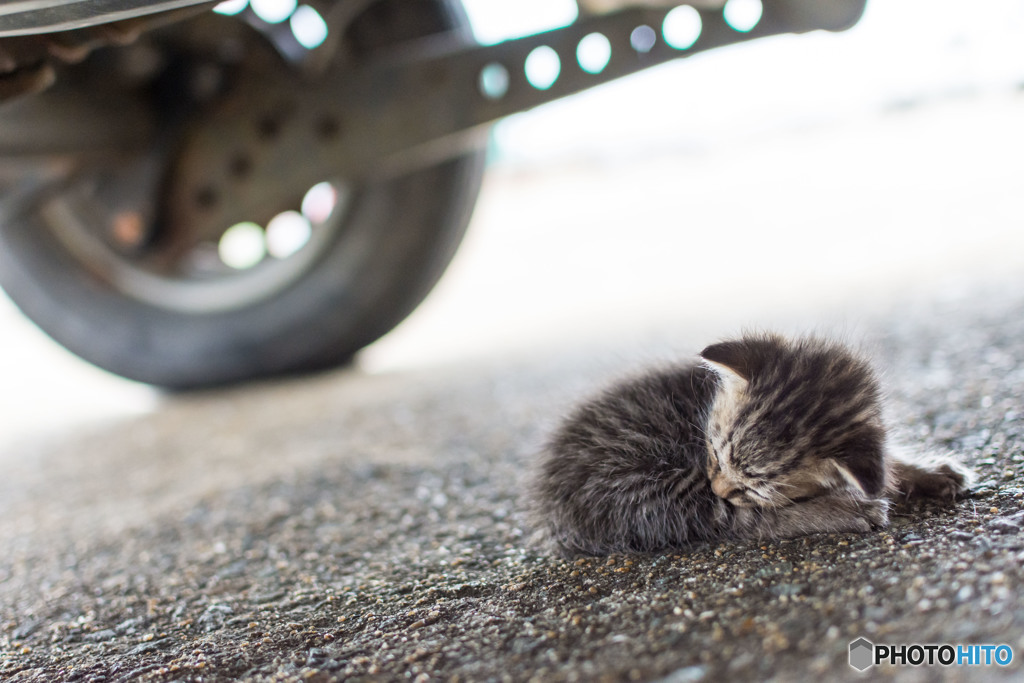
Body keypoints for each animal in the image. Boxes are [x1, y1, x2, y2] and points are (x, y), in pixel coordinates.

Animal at [532, 333, 970, 557]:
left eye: (753, 486)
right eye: (712, 452)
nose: (718, 486)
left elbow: (885, 463)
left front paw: (925, 472)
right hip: (645, 483)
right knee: (740, 524)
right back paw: (847, 510)